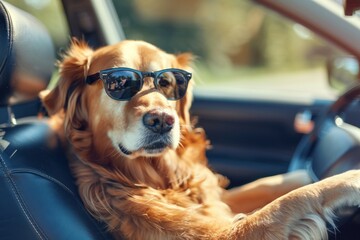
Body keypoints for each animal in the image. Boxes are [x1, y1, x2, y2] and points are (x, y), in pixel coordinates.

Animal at [43, 38, 360, 239]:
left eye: (168, 82)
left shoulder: (217, 200)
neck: (160, 179)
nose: (162, 121)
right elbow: (291, 200)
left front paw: (307, 174)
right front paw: (350, 178)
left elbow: (274, 184)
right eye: (120, 82)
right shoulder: (227, 233)